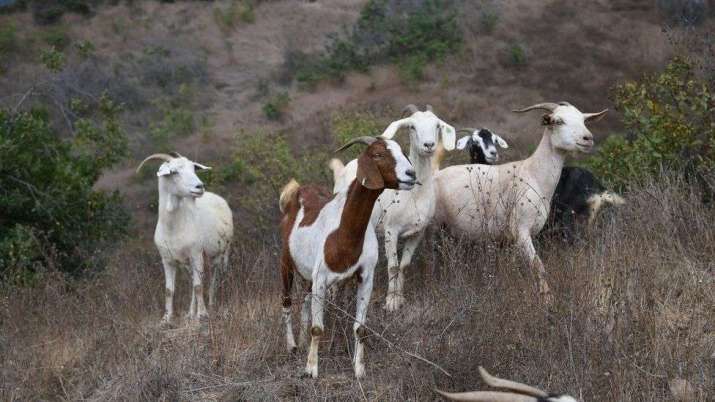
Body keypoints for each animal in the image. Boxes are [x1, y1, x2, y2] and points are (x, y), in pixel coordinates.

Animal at [136, 152, 234, 324]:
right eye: (174, 172)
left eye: (193, 168)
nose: (199, 187)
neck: (174, 229)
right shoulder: (167, 260)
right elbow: (169, 290)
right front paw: (166, 318)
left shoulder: (196, 255)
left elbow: (198, 287)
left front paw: (202, 315)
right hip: (188, 264)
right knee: (194, 282)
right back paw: (190, 313)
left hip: (221, 254)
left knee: (215, 278)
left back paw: (211, 304)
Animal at [278, 137, 416, 378]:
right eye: (378, 154)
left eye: (402, 151)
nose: (411, 174)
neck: (345, 231)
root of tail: (297, 191)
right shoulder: (322, 279)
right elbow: (318, 328)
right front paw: (311, 369)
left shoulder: (365, 278)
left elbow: (360, 327)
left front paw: (359, 369)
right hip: (287, 262)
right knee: (286, 302)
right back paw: (292, 346)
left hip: (311, 275)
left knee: (304, 301)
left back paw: (302, 342)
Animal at [434, 102, 608, 300]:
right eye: (558, 121)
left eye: (583, 120)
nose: (588, 138)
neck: (533, 175)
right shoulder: (521, 231)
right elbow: (538, 265)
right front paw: (547, 298)